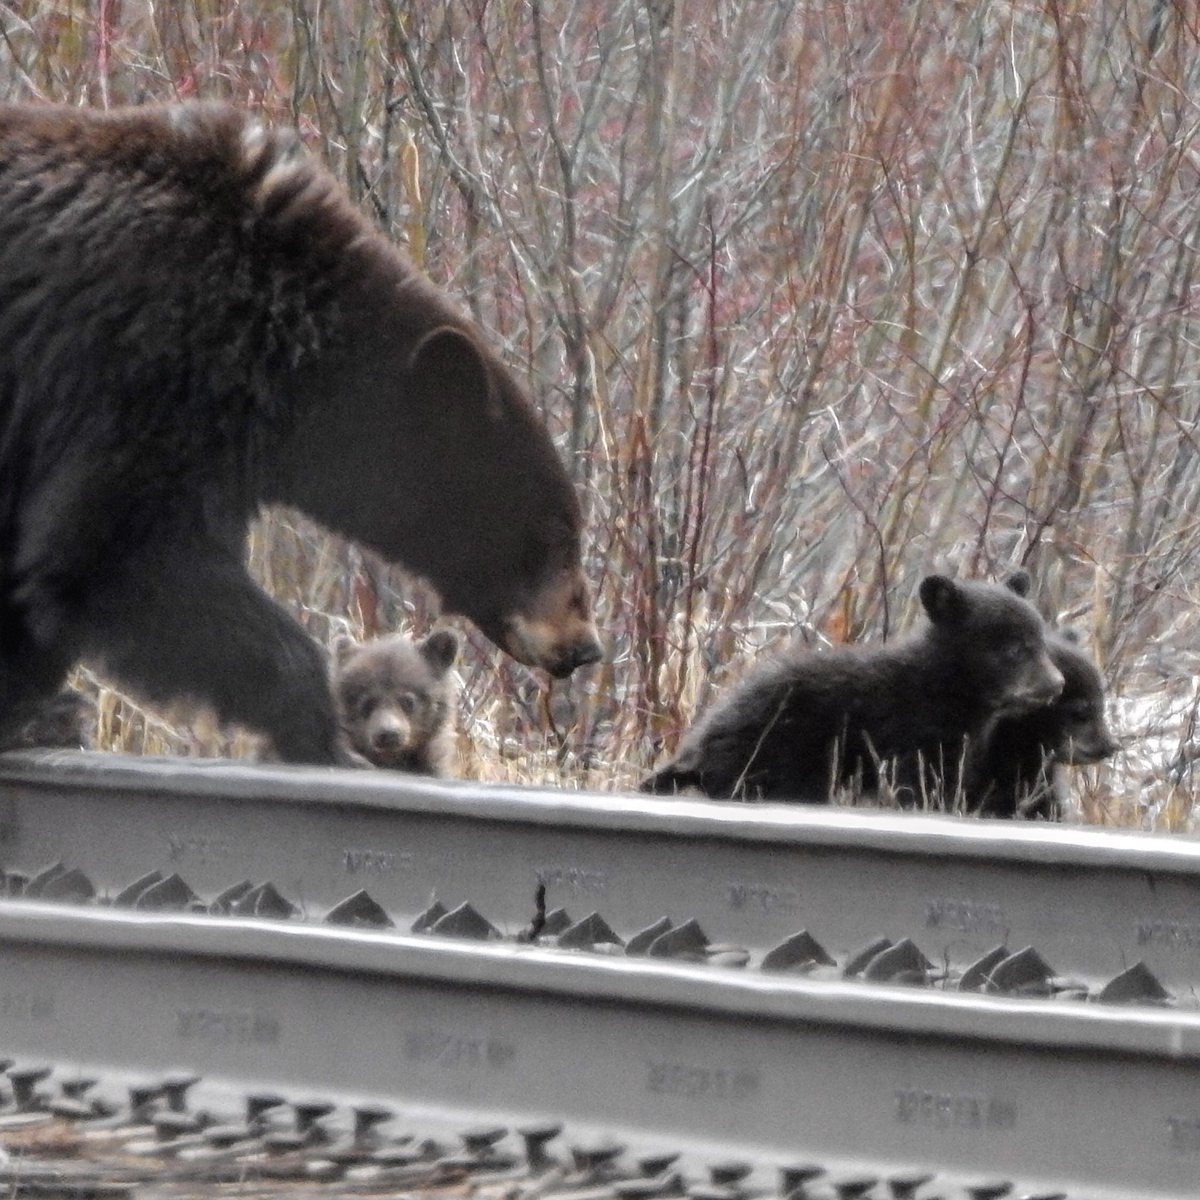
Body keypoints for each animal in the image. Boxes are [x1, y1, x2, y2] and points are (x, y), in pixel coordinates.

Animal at [640, 573, 1065, 805]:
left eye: (1040, 640)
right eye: (1012, 648)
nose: (1056, 684)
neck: (944, 690)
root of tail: (697, 748)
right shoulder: (909, 735)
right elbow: (918, 786)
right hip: (778, 761)